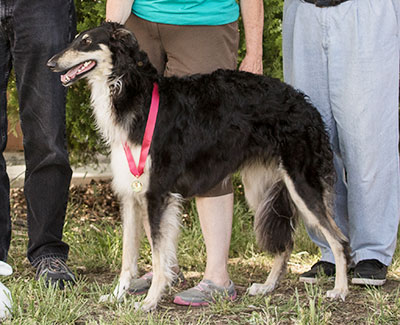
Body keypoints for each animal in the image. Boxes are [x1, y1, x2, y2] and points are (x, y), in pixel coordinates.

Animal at [47, 21, 350, 310]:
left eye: (86, 42)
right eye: (75, 39)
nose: (50, 63)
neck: (132, 92)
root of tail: (306, 105)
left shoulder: (157, 193)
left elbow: (158, 257)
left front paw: (149, 302)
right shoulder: (131, 194)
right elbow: (128, 257)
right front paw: (117, 295)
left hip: (302, 185)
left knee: (338, 239)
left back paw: (340, 290)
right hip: (262, 191)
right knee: (285, 242)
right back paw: (268, 286)